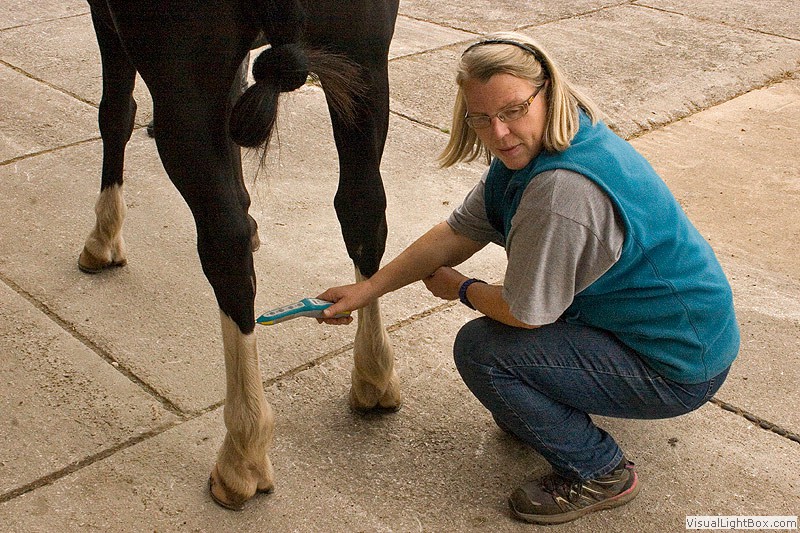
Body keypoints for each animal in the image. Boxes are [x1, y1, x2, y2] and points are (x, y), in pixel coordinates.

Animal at [80, 0, 402, 510]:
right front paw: (251, 218)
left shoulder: (108, 21)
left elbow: (115, 113)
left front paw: (104, 236)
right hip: (363, 61)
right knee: (364, 207)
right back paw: (373, 373)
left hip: (182, 85)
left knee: (223, 243)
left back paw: (243, 450)